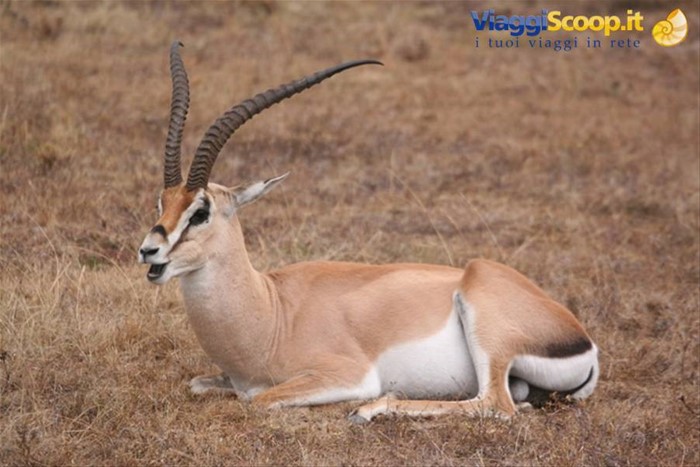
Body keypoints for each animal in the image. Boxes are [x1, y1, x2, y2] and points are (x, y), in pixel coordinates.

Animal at [138, 41, 599, 423]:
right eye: (163, 202)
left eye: (201, 211)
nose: (149, 250)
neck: (271, 313)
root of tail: (581, 338)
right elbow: (197, 384)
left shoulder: (346, 375)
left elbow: (259, 400)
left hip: (486, 329)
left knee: (496, 406)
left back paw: (369, 410)